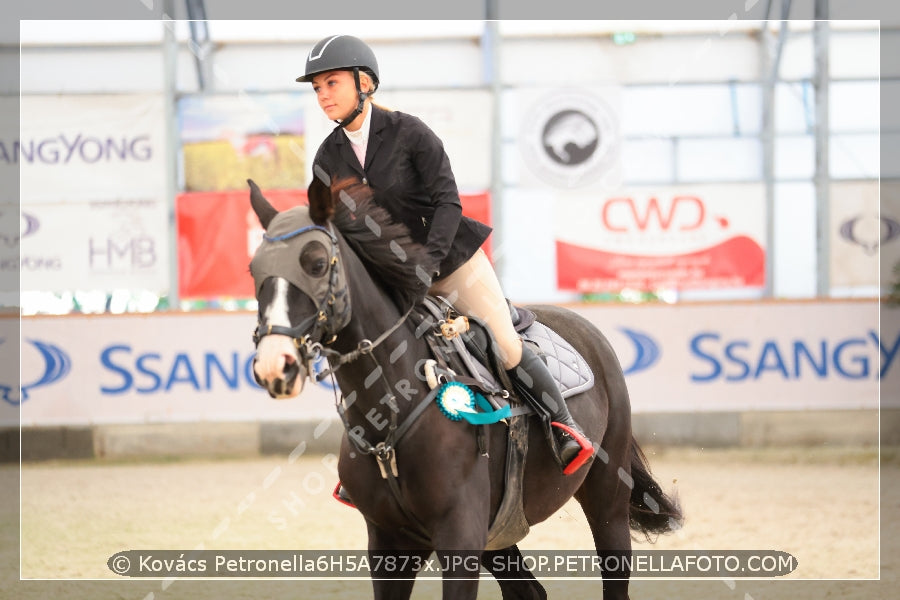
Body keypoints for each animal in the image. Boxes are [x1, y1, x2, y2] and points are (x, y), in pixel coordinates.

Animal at [246, 175, 684, 600]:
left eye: (317, 264)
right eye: (254, 270)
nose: (273, 364)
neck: (391, 411)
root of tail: (586, 328)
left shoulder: (460, 535)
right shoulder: (390, 545)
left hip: (606, 497)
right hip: (500, 529)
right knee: (528, 591)